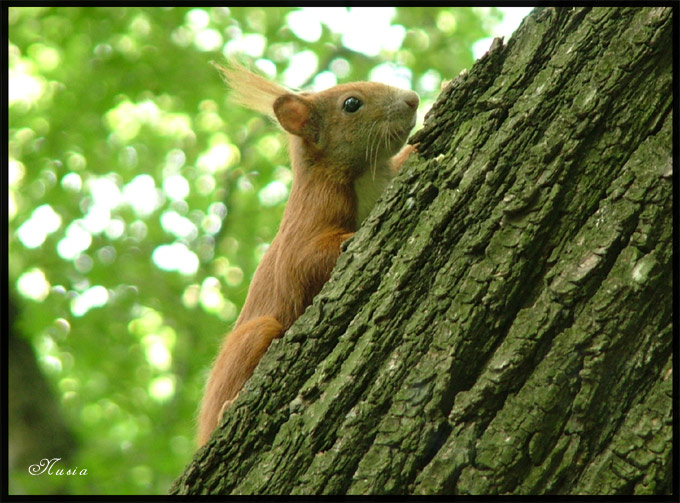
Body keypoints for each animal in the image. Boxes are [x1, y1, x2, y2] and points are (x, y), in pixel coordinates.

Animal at [198, 59, 420, 444]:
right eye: (351, 104)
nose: (413, 99)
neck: (367, 173)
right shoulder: (311, 216)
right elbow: (305, 261)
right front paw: (349, 241)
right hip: (257, 334)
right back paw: (228, 407)